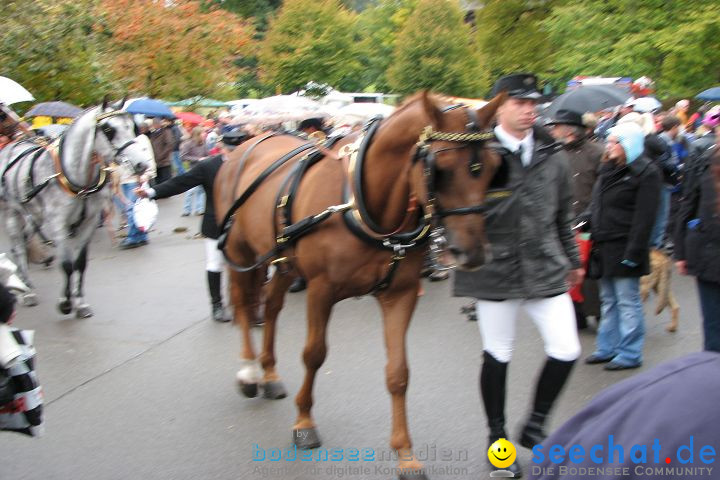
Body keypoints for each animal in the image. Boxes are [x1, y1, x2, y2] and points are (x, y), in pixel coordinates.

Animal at [0, 98, 153, 316]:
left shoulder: (88, 222)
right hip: (12, 212)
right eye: (108, 129)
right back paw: (27, 291)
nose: (141, 165)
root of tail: (12, 145)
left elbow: (80, 263)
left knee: (24, 240)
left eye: (132, 126)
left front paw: (80, 303)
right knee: (19, 246)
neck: (77, 179)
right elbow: (66, 264)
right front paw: (65, 303)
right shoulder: (58, 223)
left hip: (34, 214)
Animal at [214, 92, 506, 478]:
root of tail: (248, 144)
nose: (472, 254)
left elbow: (398, 373)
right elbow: (314, 355)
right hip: (241, 252)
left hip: (284, 263)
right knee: (245, 305)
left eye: (492, 166)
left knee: (273, 308)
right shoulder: (321, 290)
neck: (365, 204)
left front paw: (405, 454)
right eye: (439, 169)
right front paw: (304, 421)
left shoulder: (400, 294)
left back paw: (270, 372)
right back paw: (249, 371)